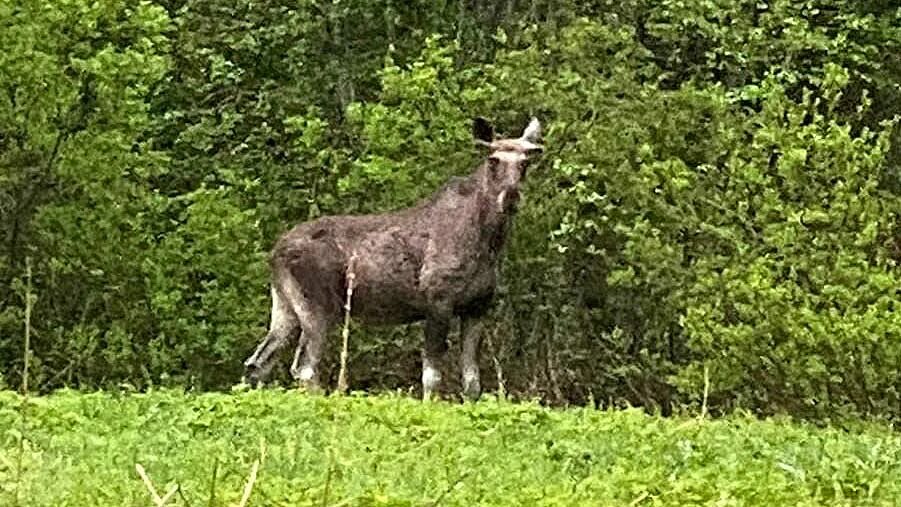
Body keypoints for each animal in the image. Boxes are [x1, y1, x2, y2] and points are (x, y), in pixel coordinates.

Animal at [241, 115, 540, 400]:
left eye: (524, 164)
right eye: (493, 160)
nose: (511, 197)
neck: (489, 242)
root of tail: (274, 254)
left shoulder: (477, 307)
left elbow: (471, 382)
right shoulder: (438, 301)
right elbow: (432, 377)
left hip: (285, 306)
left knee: (258, 362)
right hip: (317, 307)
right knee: (304, 367)